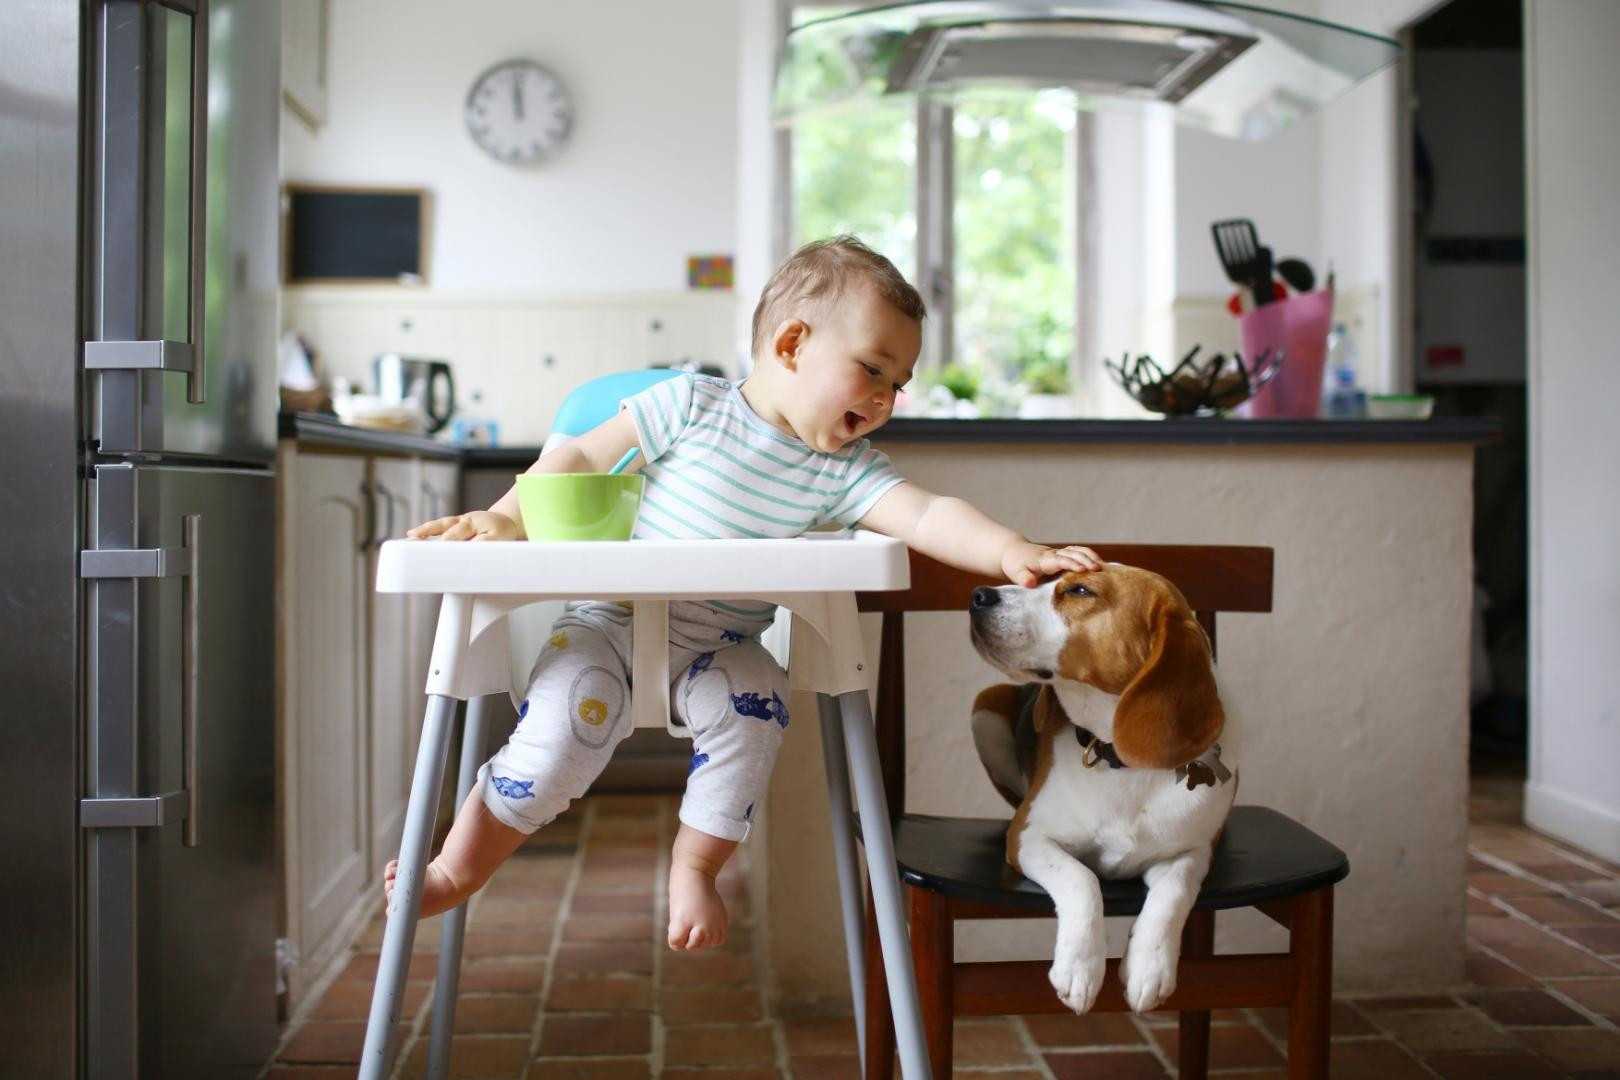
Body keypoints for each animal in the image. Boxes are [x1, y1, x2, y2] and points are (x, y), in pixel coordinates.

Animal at [965, 569, 1231, 1016]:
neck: (1119, 758)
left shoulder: (1192, 851)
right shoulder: (1028, 836)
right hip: (984, 708)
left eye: (1080, 590)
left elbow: (1174, 892)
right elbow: (1082, 878)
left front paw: (1150, 968)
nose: (978, 595)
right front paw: (1080, 966)